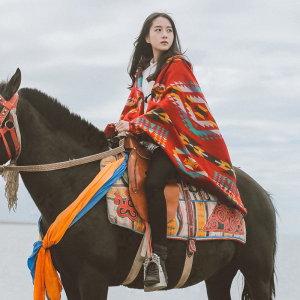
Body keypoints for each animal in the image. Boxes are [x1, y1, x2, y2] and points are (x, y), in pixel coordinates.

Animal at [0, 69, 276, 298]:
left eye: (4, 120)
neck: (75, 185)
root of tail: (262, 194)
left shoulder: (93, 277)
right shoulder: (69, 278)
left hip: (257, 274)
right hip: (219, 274)